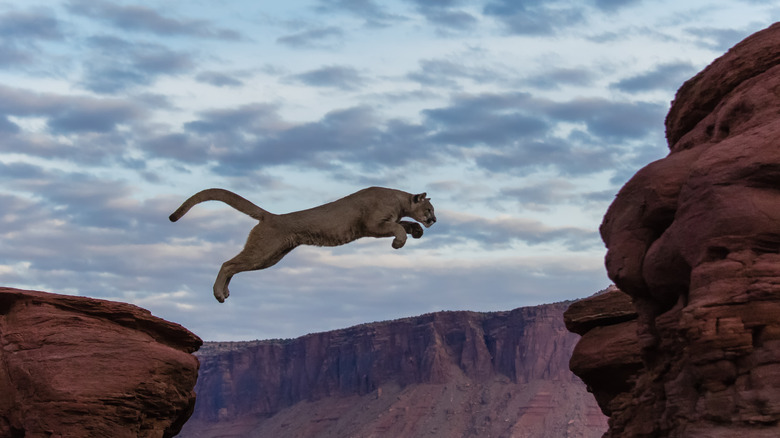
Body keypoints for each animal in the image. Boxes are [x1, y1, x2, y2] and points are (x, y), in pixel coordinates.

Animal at [168, 186, 436, 302]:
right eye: (429, 209)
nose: (434, 220)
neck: (397, 199)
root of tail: (271, 216)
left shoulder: (386, 221)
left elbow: (404, 223)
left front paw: (417, 231)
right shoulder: (373, 224)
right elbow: (398, 227)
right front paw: (399, 243)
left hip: (271, 256)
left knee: (234, 266)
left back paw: (224, 292)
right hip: (264, 251)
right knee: (227, 263)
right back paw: (218, 293)